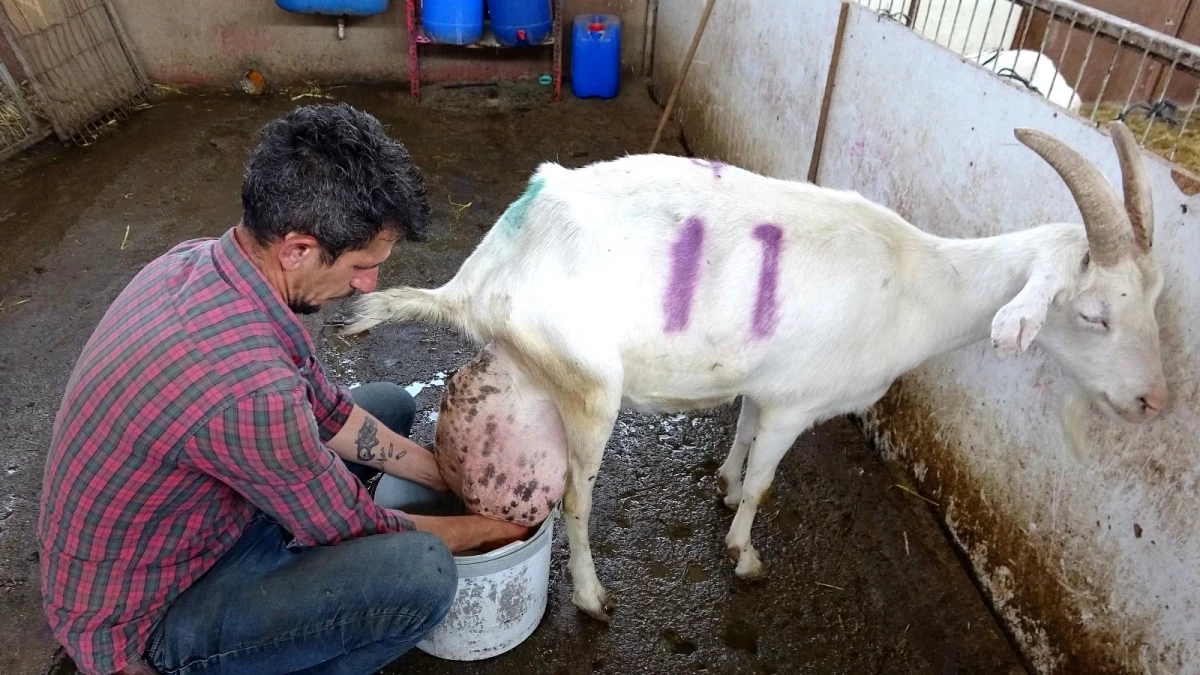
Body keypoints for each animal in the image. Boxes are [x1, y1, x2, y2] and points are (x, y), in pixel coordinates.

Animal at [345, 121, 1161, 619]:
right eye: (1094, 314)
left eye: (1156, 299)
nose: (1152, 400)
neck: (917, 281)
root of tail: (482, 275)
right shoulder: (799, 402)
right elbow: (770, 481)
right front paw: (744, 553)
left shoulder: (763, 384)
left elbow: (741, 435)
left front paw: (726, 486)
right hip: (588, 386)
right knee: (576, 496)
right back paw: (591, 596)